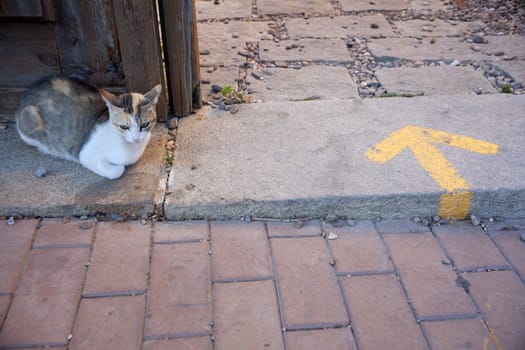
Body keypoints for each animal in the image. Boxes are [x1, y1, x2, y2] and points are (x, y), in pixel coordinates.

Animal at [15, 77, 162, 180]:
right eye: (124, 127)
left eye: (144, 124)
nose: (136, 138)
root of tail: (26, 93)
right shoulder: (86, 154)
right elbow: (117, 171)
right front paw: (118, 167)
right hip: (29, 120)